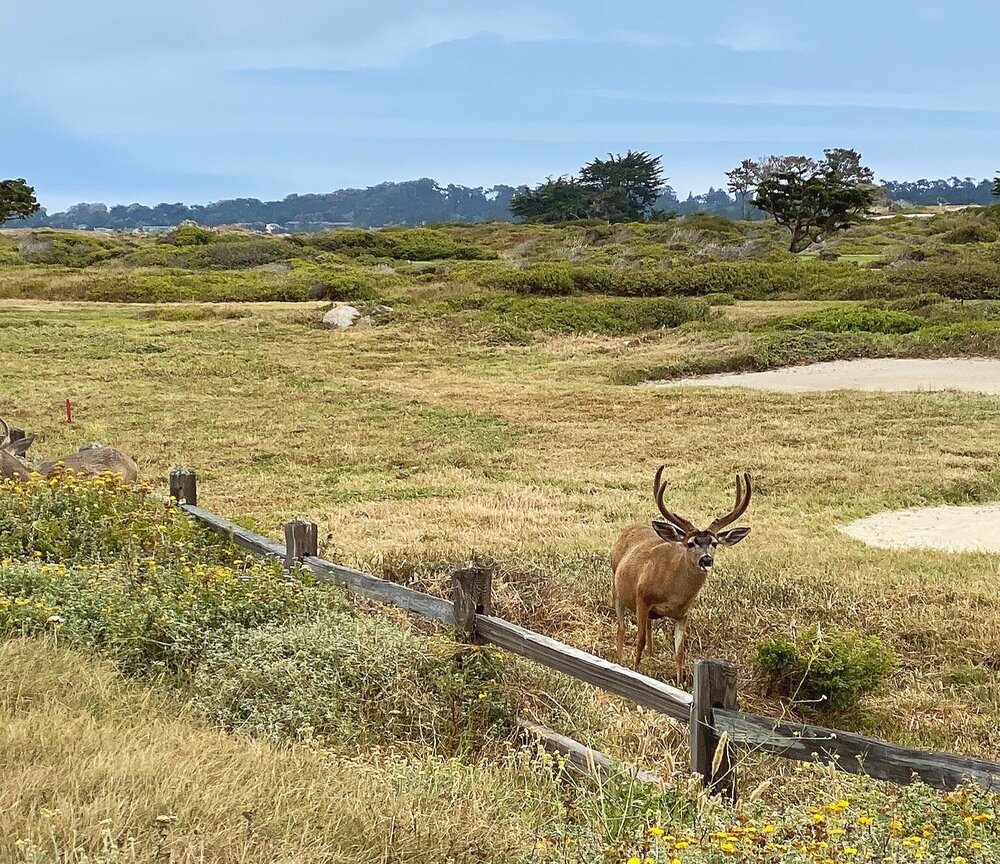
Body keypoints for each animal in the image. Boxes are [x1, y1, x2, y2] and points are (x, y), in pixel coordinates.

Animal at [608, 470, 752, 684]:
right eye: (690, 543)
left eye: (715, 543)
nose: (706, 559)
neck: (673, 593)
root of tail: (628, 529)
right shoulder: (642, 598)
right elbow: (639, 640)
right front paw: (635, 669)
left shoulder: (683, 614)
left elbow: (679, 652)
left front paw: (680, 683)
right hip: (616, 588)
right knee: (622, 627)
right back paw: (619, 659)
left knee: (648, 627)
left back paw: (652, 655)